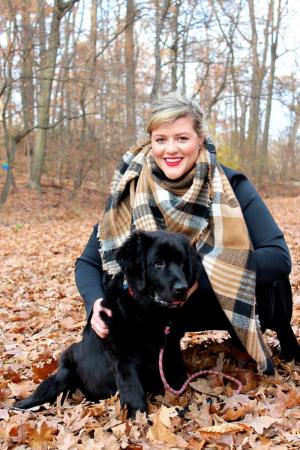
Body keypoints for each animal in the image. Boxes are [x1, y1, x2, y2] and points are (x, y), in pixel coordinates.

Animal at [14, 232, 202, 418]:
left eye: (182, 264)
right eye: (158, 263)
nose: (182, 289)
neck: (148, 311)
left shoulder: (170, 347)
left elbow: (176, 374)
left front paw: (182, 402)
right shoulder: (123, 354)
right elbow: (132, 388)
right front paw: (136, 416)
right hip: (62, 376)